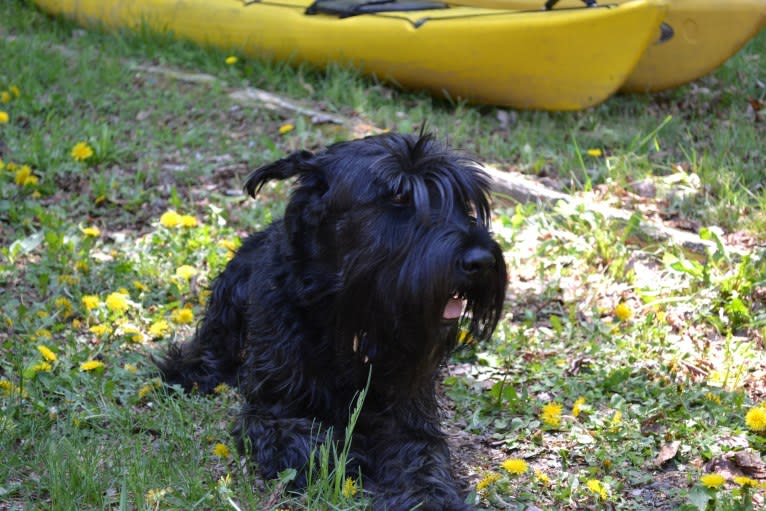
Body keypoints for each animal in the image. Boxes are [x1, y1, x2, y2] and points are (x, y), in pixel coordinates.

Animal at [158, 134, 508, 510]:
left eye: (463, 200)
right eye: (398, 197)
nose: (481, 260)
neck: (342, 319)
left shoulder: (406, 411)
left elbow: (422, 456)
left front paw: (429, 496)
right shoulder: (271, 412)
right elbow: (307, 439)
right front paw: (349, 458)